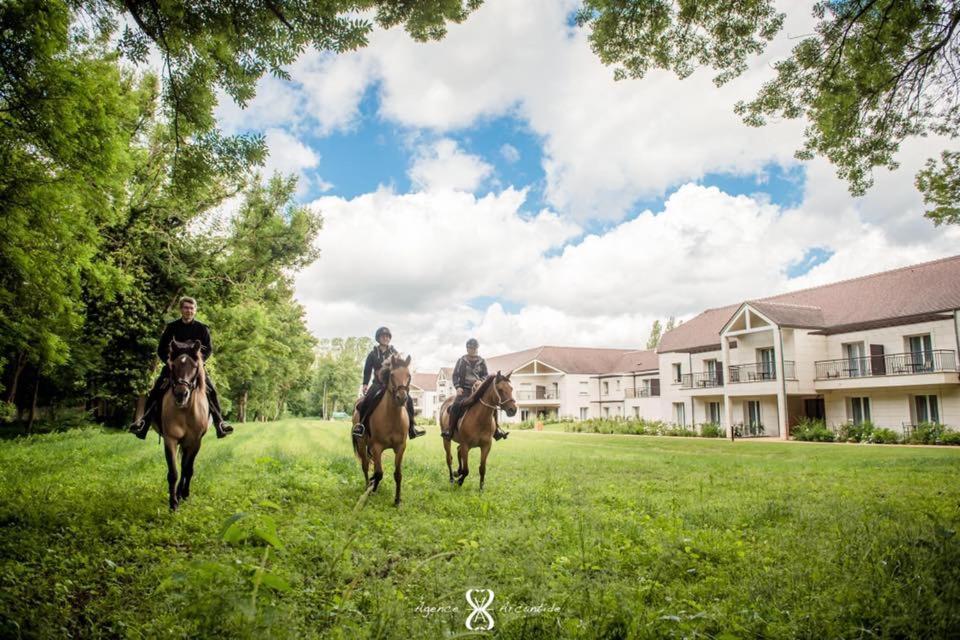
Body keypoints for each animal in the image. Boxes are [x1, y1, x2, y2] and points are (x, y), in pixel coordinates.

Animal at [157, 340, 209, 510]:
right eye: (173, 365)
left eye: (194, 366)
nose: (181, 394)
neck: (185, 411)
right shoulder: (170, 440)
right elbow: (174, 472)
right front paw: (173, 503)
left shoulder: (195, 442)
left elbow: (187, 469)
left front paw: (182, 494)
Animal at [352, 356, 412, 504]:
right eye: (392, 375)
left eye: (408, 375)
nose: (402, 398)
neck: (392, 418)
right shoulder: (377, 447)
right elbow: (379, 473)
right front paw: (372, 490)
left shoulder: (400, 447)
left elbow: (398, 474)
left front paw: (397, 500)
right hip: (362, 444)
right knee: (365, 466)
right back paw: (367, 485)